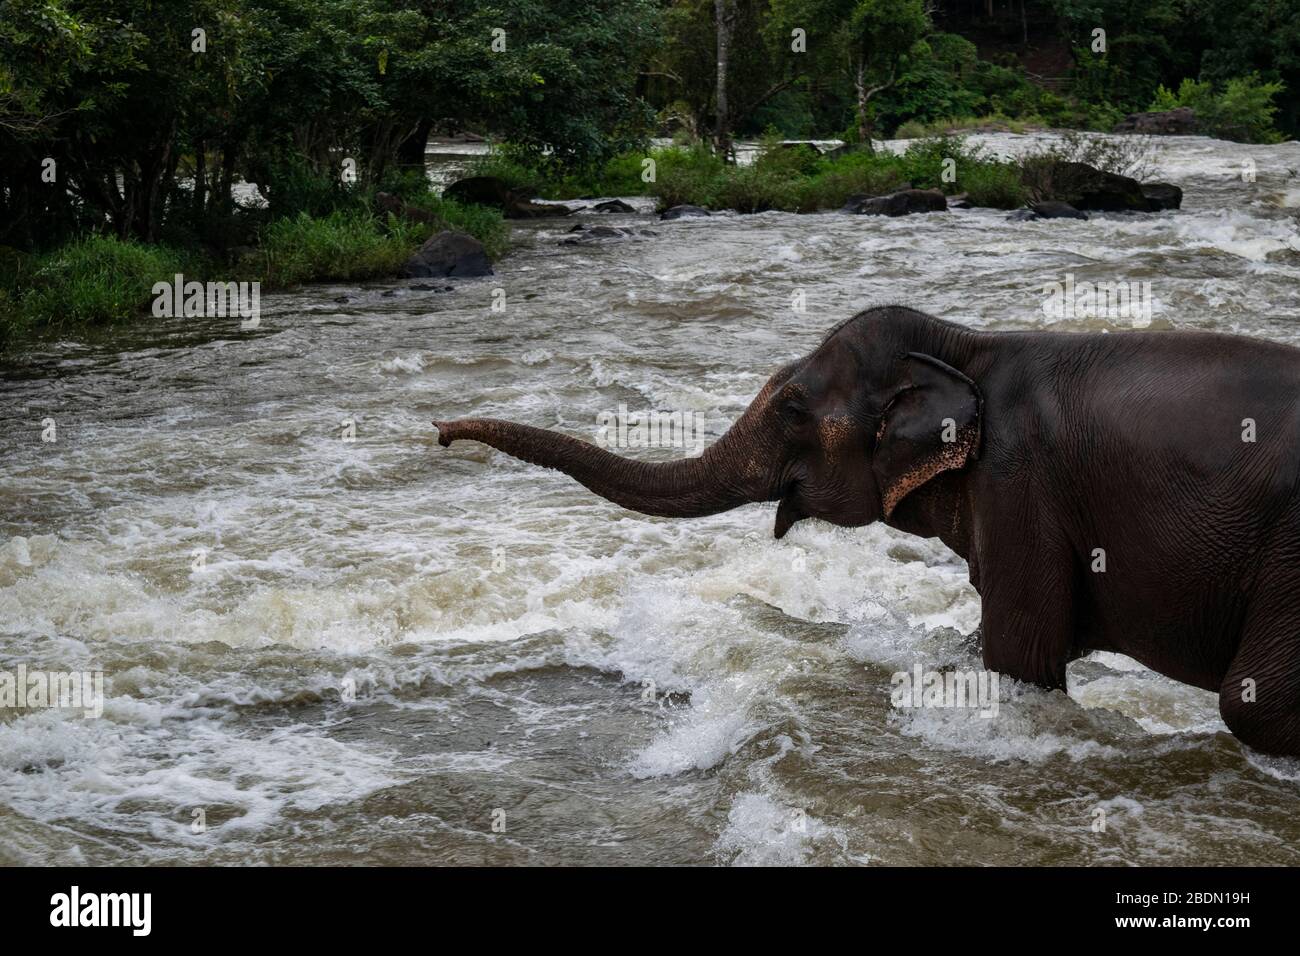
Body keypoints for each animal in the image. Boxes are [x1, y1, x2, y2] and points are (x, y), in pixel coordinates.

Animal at [434, 304, 1300, 754]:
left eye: (791, 409)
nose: (440, 433)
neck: (965, 344)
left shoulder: (1021, 482)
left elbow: (1018, 658)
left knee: (1253, 704)